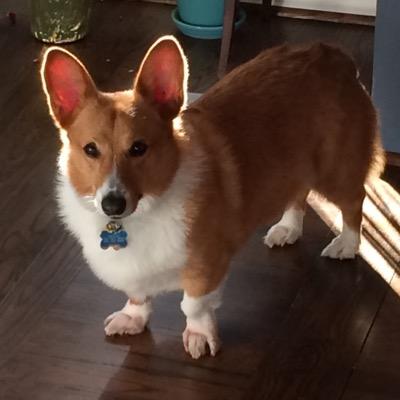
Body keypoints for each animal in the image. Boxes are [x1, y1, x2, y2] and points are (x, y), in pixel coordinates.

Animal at [41, 35, 384, 360]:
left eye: (138, 148)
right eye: (90, 149)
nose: (112, 204)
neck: (143, 211)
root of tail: (331, 54)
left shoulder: (206, 264)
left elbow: (193, 305)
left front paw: (200, 337)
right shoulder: (135, 272)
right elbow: (138, 294)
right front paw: (133, 318)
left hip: (335, 171)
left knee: (355, 201)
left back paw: (347, 244)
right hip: (296, 165)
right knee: (299, 193)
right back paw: (288, 228)